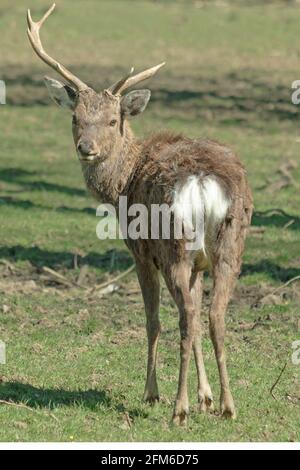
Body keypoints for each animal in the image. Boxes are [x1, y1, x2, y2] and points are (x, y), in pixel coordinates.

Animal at [27, 3, 253, 424]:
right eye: (75, 118)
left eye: (113, 120)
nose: (86, 147)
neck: (123, 181)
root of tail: (203, 182)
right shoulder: (199, 265)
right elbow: (199, 319)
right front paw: (206, 397)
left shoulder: (140, 251)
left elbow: (152, 321)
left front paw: (152, 393)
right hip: (231, 245)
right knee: (213, 316)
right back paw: (228, 405)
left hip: (174, 244)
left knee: (184, 318)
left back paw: (178, 409)